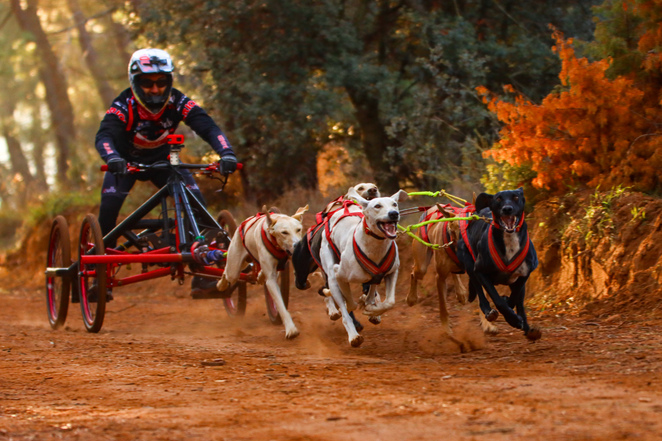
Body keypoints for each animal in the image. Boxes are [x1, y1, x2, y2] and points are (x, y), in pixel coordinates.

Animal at [218, 205, 312, 338]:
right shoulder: (271, 281)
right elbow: (280, 305)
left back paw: (261, 275)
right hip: (233, 268)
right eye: (284, 232)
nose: (297, 245)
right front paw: (290, 328)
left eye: (298, 229)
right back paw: (221, 284)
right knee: (227, 273)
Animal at [322, 187, 410, 346]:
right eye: (377, 206)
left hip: (375, 275)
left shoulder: (392, 272)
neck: (375, 246)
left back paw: (369, 303)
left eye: (394, 204)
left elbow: (390, 302)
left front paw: (372, 309)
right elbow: (350, 304)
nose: (394, 213)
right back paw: (353, 335)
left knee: (373, 286)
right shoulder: (339, 274)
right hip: (330, 270)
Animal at [456, 186, 544, 340]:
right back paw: (489, 311)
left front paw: (514, 314)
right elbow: (498, 300)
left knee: (520, 303)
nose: (507, 209)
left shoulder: (525, 273)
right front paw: (512, 319)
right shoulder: (480, 271)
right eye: (498, 199)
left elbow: (514, 297)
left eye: (516, 197)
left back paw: (528, 329)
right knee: (480, 294)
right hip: (470, 265)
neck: (509, 238)